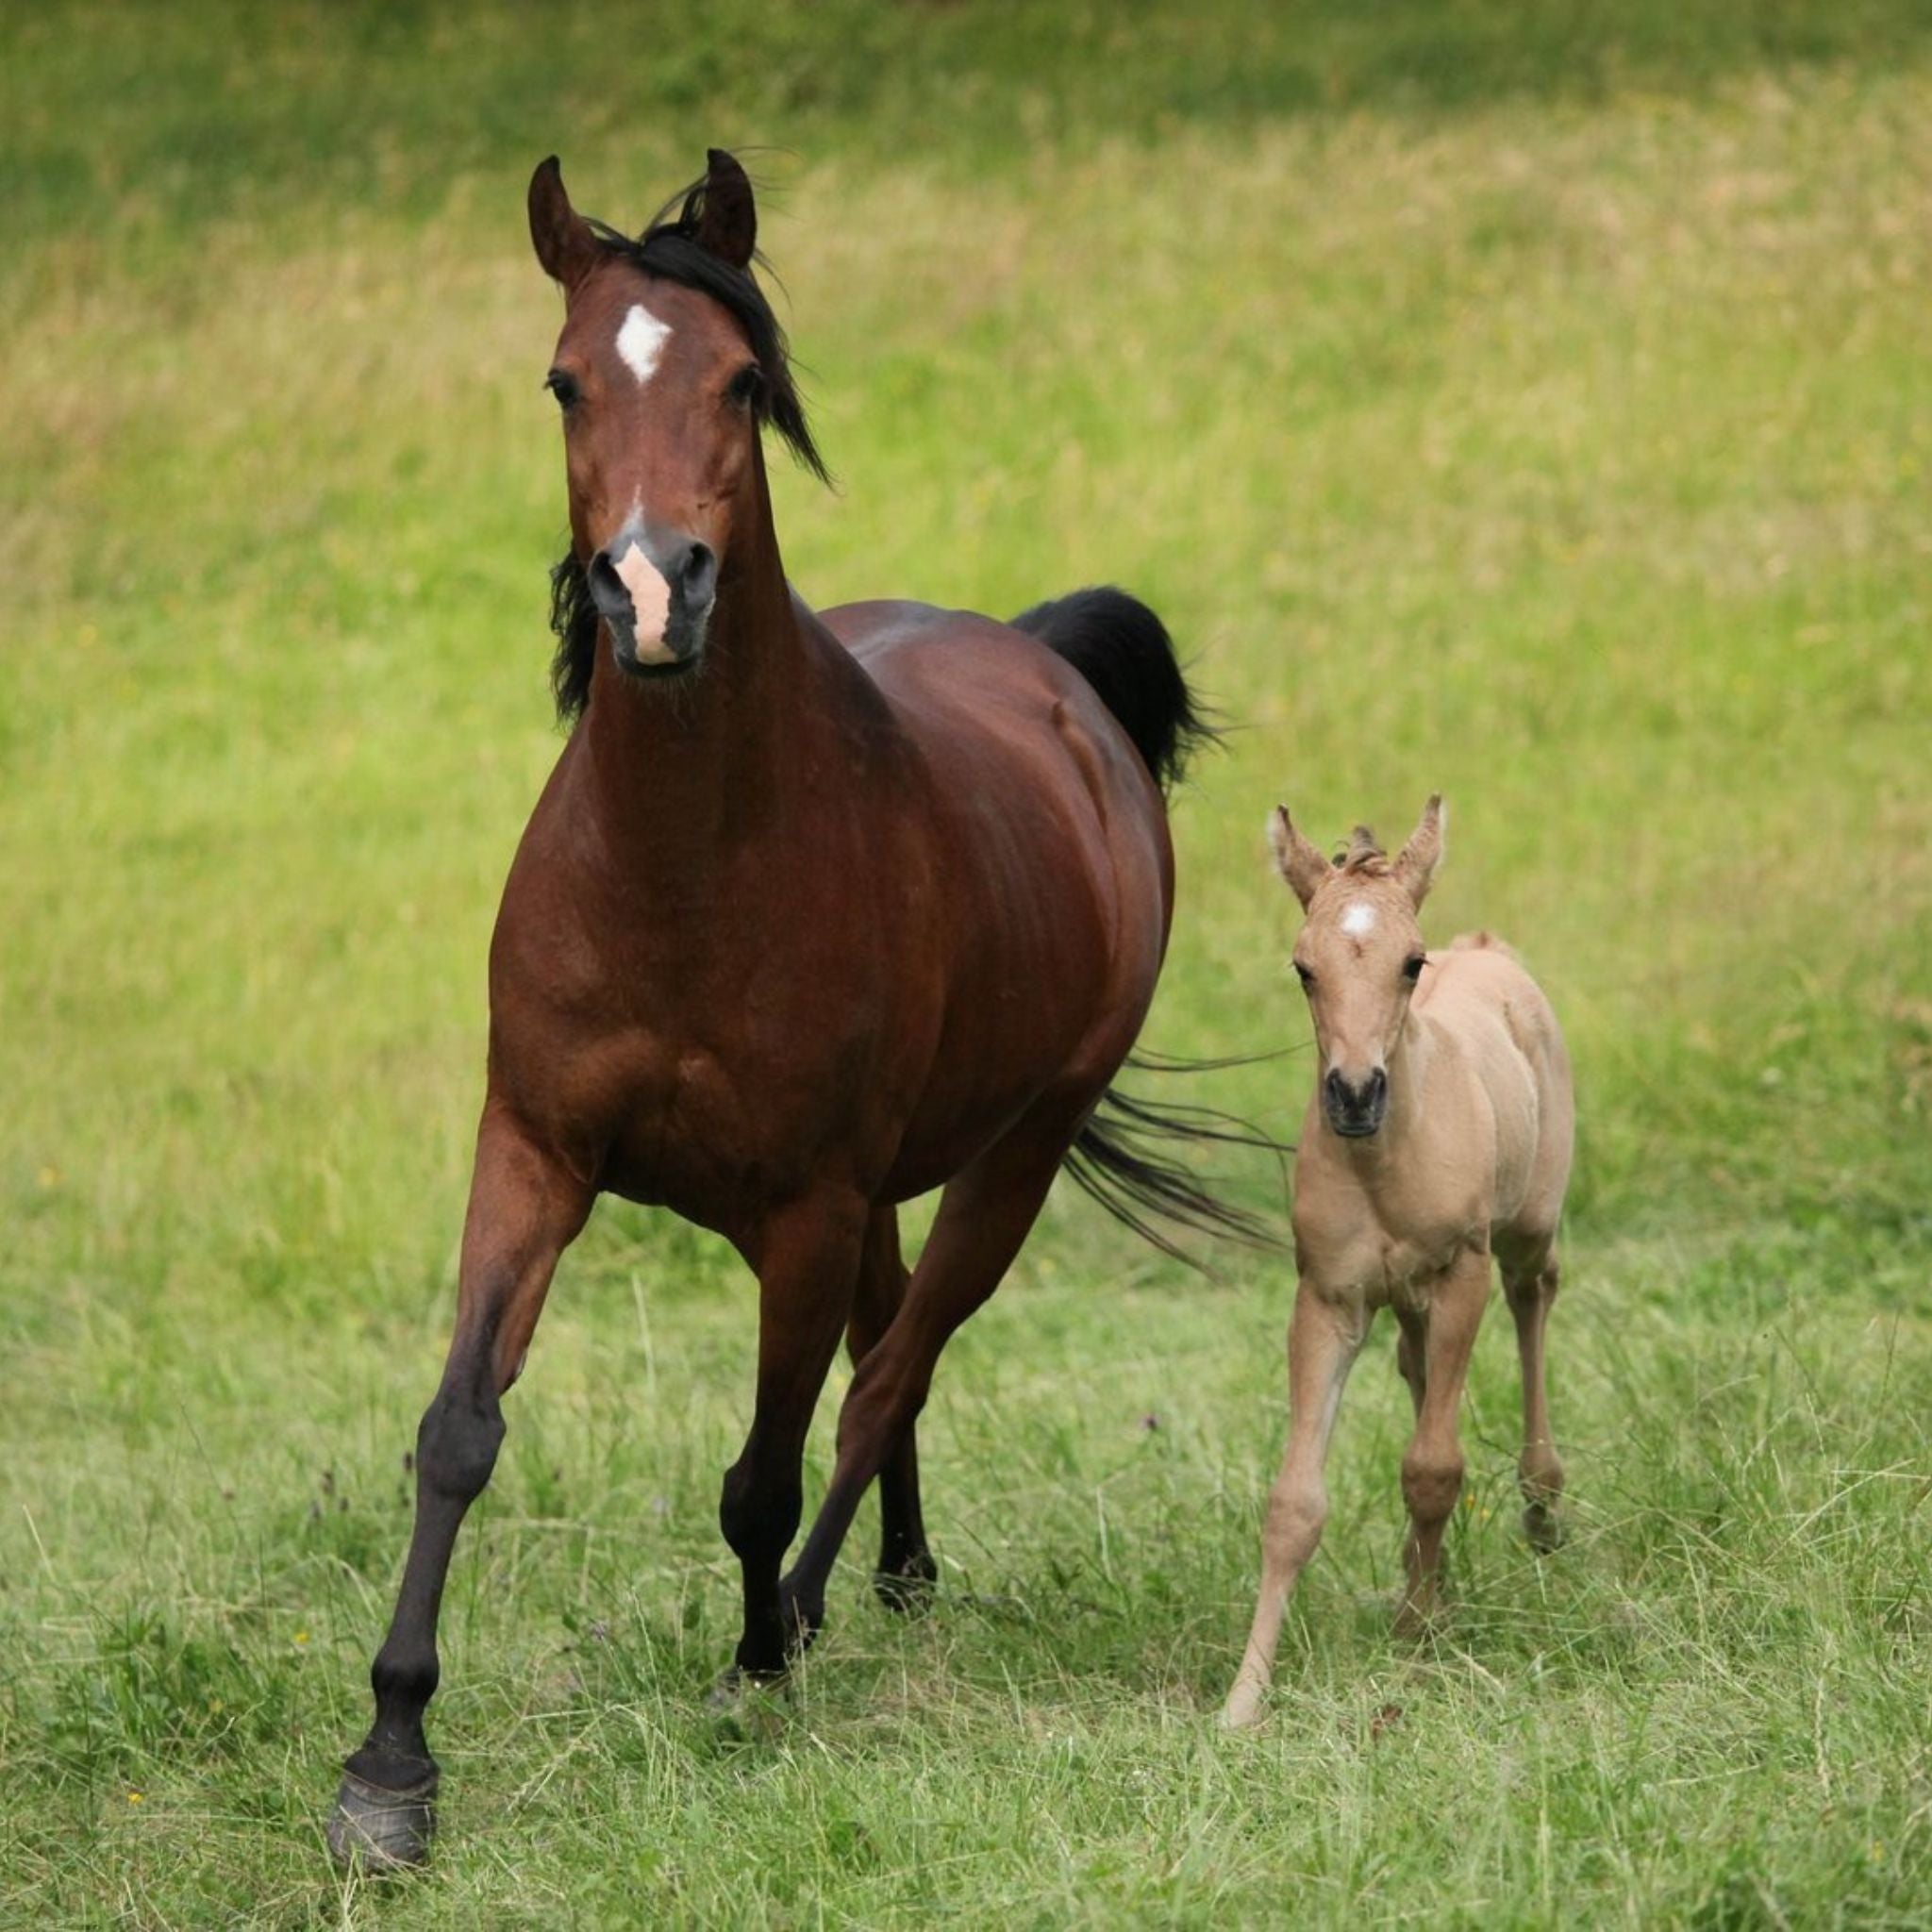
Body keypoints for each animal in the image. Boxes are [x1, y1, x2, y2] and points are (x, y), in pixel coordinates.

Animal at [325, 150, 1259, 1870]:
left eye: (742, 382)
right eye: (564, 380)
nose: (648, 591)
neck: (686, 870)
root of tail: (1049, 671)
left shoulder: (801, 1211)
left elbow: (760, 1472)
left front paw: (753, 1663)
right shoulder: (532, 1147)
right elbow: (458, 1428)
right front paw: (389, 1765)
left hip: (1015, 1154)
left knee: (892, 1370)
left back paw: (815, 1609)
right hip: (894, 1180)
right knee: (891, 1351)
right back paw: (896, 1572)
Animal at [1221, 791, 1568, 1731]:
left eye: (1411, 964)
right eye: (1303, 968)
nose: (1352, 1094)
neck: (1384, 1161)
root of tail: (1488, 951)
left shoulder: (1460, 1273)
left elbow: (1433, 1468)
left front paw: (1415, 1638)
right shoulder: (1328, 1297)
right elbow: (1295, 1503)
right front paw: (1243, 1697)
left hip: (1524, 1231)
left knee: (1534, 1296)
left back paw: (1542, 1507)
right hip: (1406, 1296)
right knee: (1418, 1368)